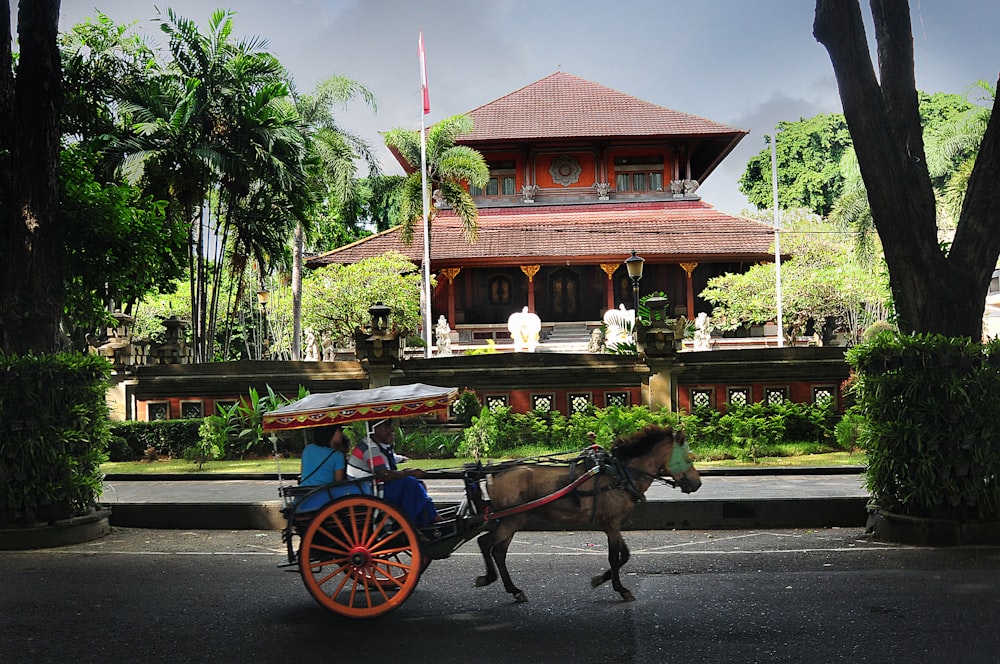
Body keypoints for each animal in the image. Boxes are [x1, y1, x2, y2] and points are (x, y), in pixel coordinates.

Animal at [472, 426, 700, 600]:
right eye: (689, 458)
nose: (697, 483)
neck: (621, 474)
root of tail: (493, 474)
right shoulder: (612, 524)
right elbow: (614, 557)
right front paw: (620, 589)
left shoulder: (612, 523)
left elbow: (624, 555)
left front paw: (600, 579)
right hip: (512, 519)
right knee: (485, 542)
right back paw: (488, 578)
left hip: (514, 519)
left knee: (499, 552)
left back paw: (514, 590)